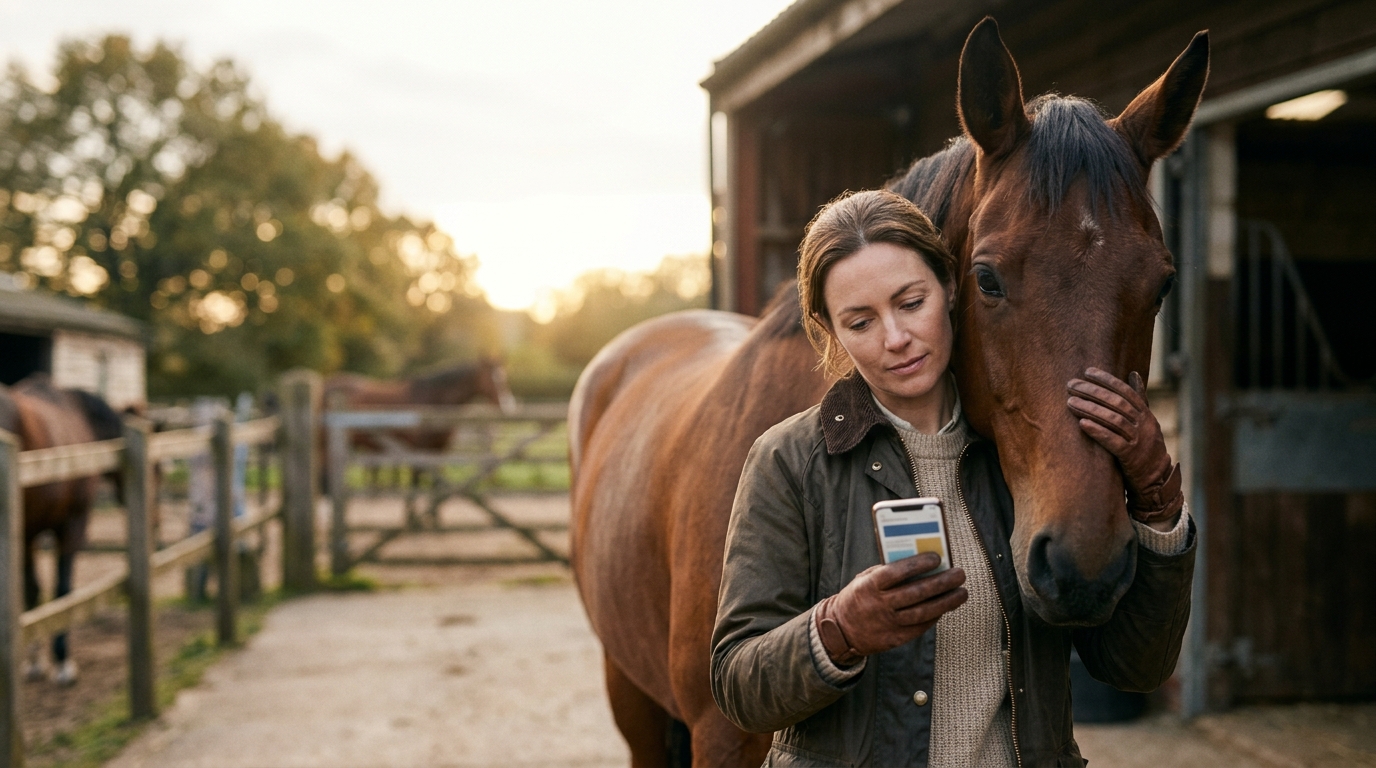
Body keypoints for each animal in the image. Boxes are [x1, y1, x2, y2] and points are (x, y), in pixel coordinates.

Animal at [0, 374, 124, 685]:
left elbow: (32, 592)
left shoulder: (27, 534)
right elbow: (62, 591)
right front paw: (62, 662)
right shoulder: (73, 524)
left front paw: (34, 663)